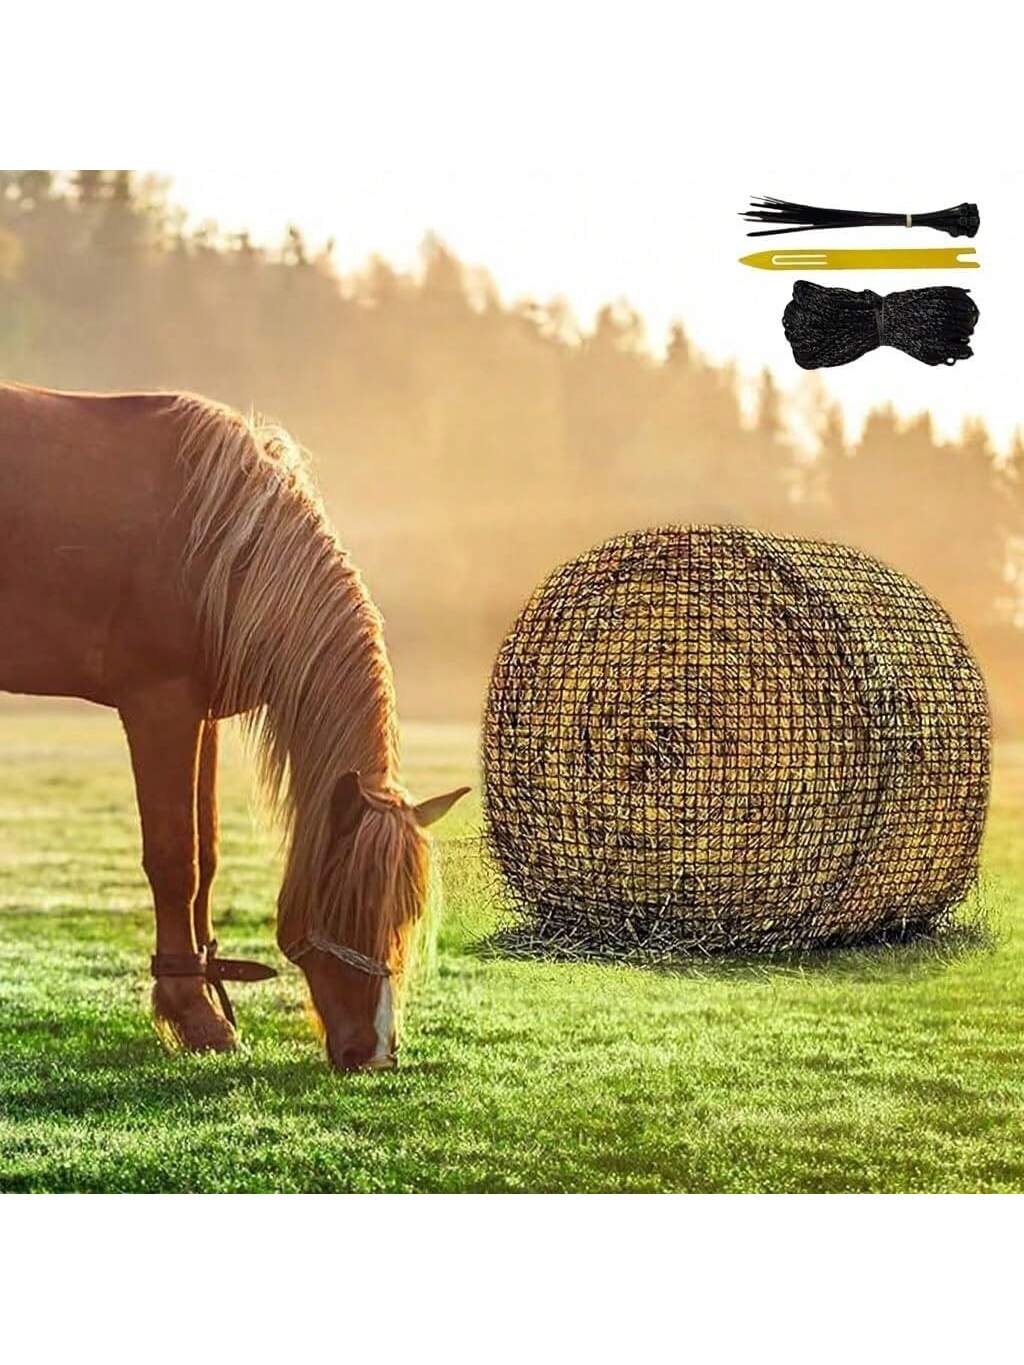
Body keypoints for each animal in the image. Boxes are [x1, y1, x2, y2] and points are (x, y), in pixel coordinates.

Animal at [0, 383, 468, 1070]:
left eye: (407, 912)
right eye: (349, 904)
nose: (374, 1051)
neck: (219, 542)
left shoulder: (202, 717)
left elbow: (209, 856)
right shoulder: (160, 705)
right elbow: (177, 859)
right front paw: (195, 1015)